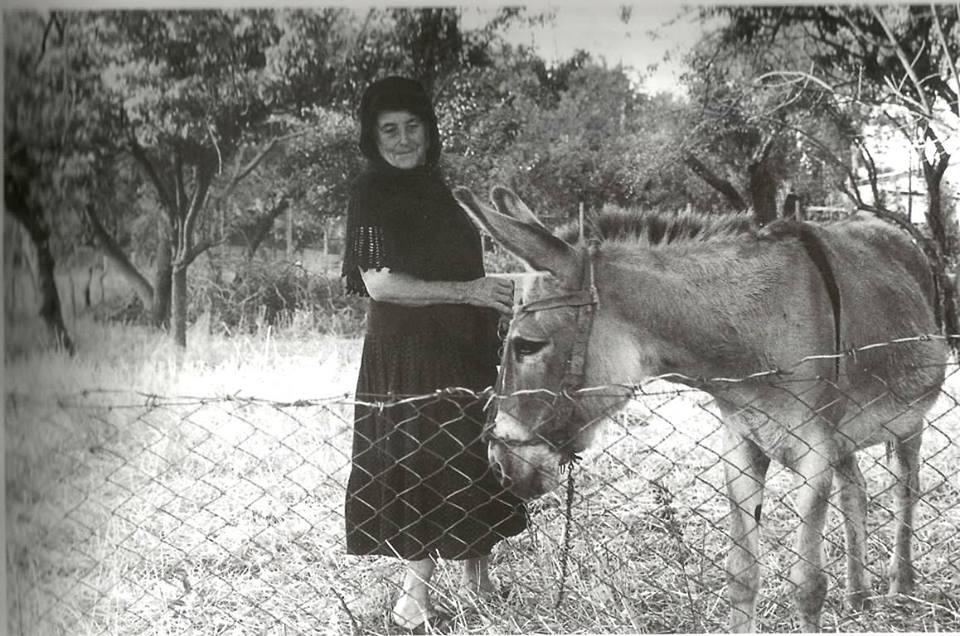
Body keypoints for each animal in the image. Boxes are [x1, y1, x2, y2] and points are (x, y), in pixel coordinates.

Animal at [453, 185, 948, 632]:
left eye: (526, 345)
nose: (498, 463)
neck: (758, 326)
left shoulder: (814, 453)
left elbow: (807, 584)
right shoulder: (743, 445)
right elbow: (741, 576)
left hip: (907, 423)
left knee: (905, 490)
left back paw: (900, 588)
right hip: (844, 436)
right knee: (856, 491)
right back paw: (858, 594)